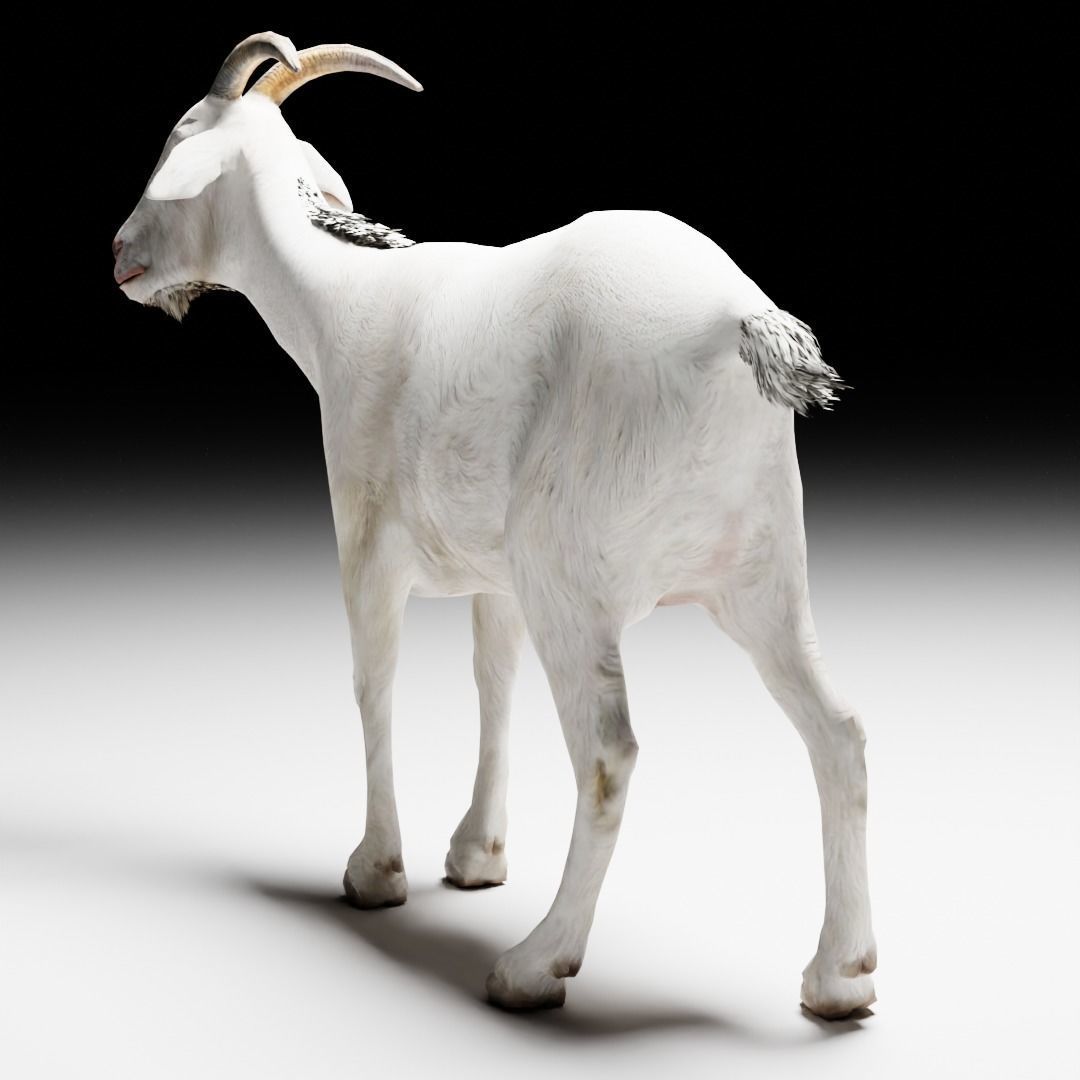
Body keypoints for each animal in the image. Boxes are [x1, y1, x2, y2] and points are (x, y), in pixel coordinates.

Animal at [114, 32, 876, 1019]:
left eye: (179, 143)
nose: (120, 256)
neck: (349, 298)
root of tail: (736, 321)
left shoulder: (368, 548)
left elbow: (374, 684)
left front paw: (377, 871)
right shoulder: (498, 580)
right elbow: (492, 685)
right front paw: (477, 855)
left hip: (575, 583)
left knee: (609, 756)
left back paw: (535, 964)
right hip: (760, 576)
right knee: (840, 733)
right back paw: (840, 976)